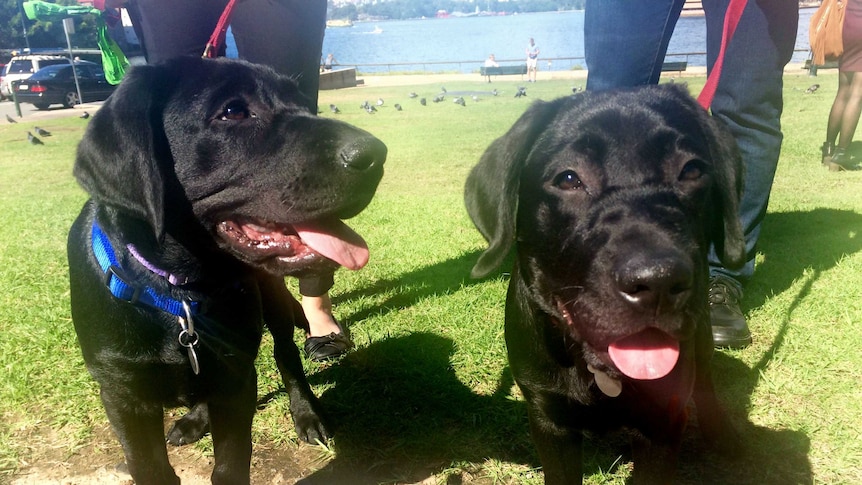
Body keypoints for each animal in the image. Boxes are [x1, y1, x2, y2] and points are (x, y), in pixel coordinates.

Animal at [67, 57, 388, 484]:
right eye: (233, 111)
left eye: (304, 103)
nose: (376, 154)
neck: (180, 292)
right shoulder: (123, 396)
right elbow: (149, 467)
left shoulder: (237, 379)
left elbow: (231, 465)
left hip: (271, 304)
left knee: (287, 357)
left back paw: (307, 414)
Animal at [470, 85, 744, 482]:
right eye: (569, 179)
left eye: (691, 170)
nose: (658, 280)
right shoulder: (548, 416)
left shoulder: (663, 420)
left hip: (702, 333)